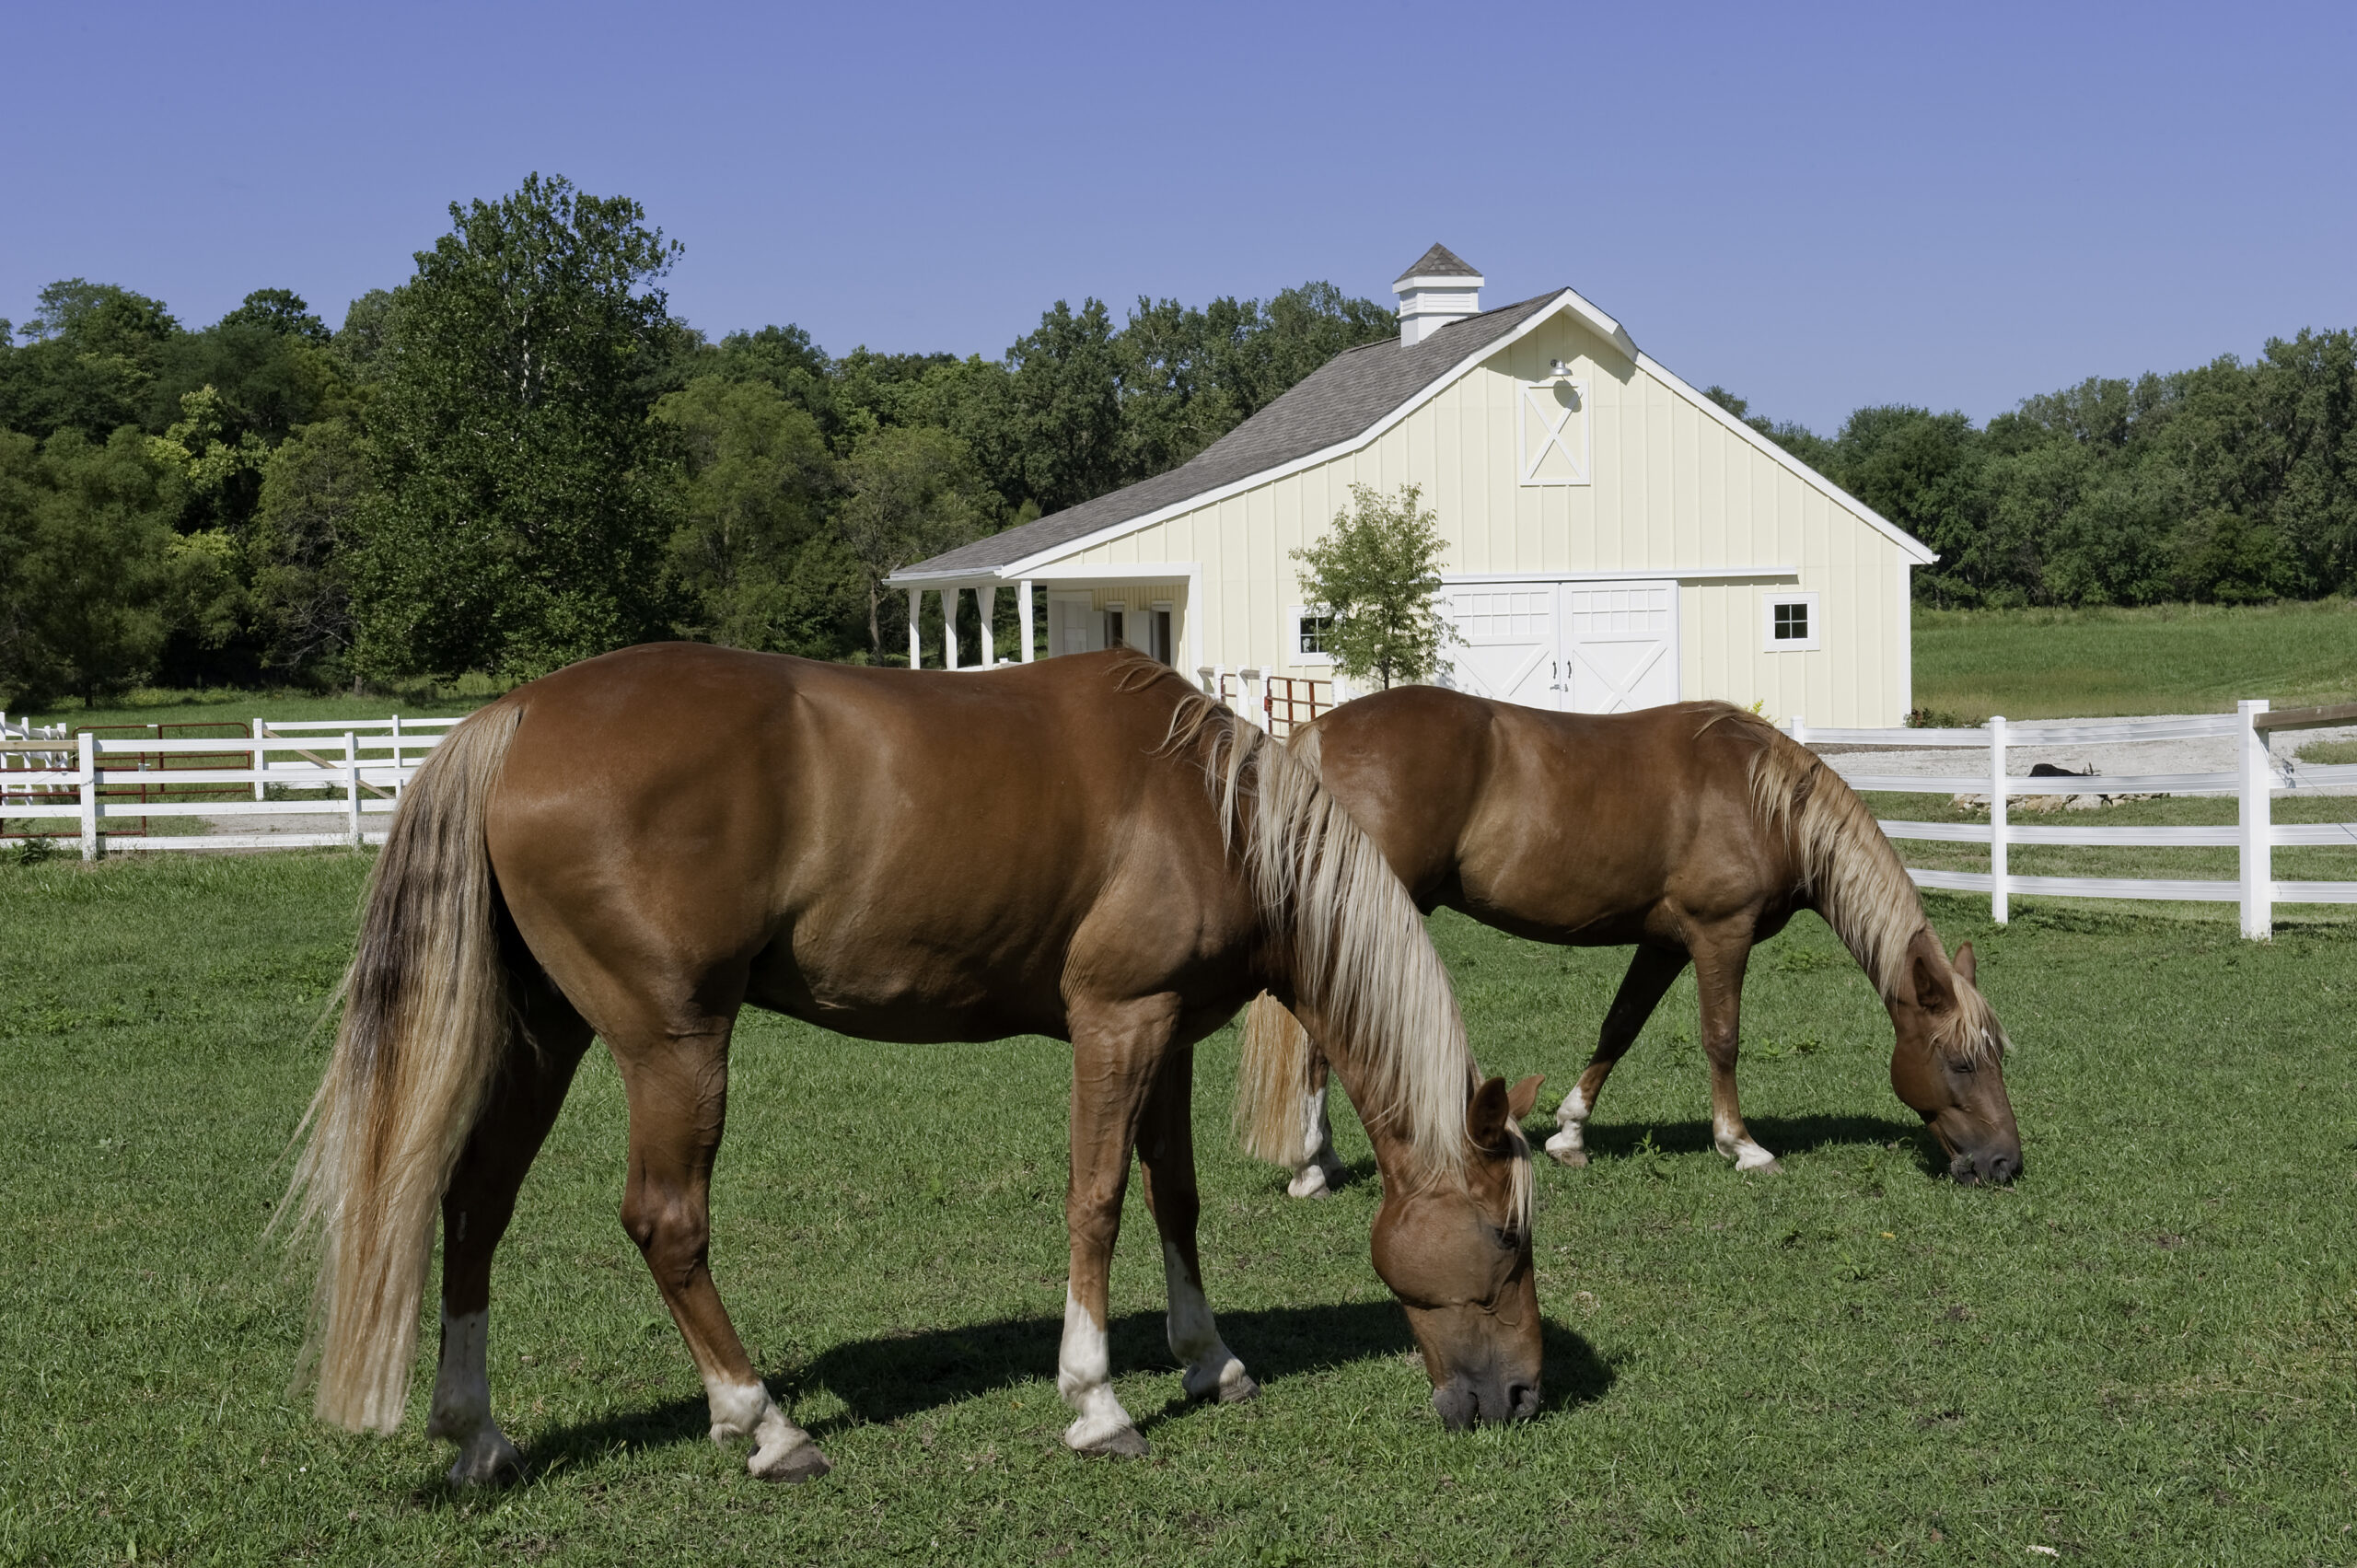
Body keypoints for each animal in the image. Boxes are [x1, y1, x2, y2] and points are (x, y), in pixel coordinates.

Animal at [280, 645, 1545, 1488]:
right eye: (1505, 1237)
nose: (1525, 1393)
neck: (1211, 805)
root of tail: (513, 715)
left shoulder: (1172, 1034)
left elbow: (1173, 1198)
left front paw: (1210, 1360)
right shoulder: (1117, 1023)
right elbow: (1095, 1203)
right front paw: (1097, 1401)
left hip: (549, 1033)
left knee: (473, 1204)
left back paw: (478, 1433)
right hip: (671, 1043)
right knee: (664, 1219)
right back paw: (766, 1423)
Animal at [1234, 687, 2021, 1195]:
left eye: (1997, 1056)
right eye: (1959, 1060)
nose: (2005, 1163)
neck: (1763, 799)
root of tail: (1318, 736)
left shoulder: (1665, 944)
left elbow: (1619, 1027)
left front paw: (1568, 1133)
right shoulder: (1720, 934)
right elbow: (1722, 1038)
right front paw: (1742, 1145)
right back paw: (1311, 1164)